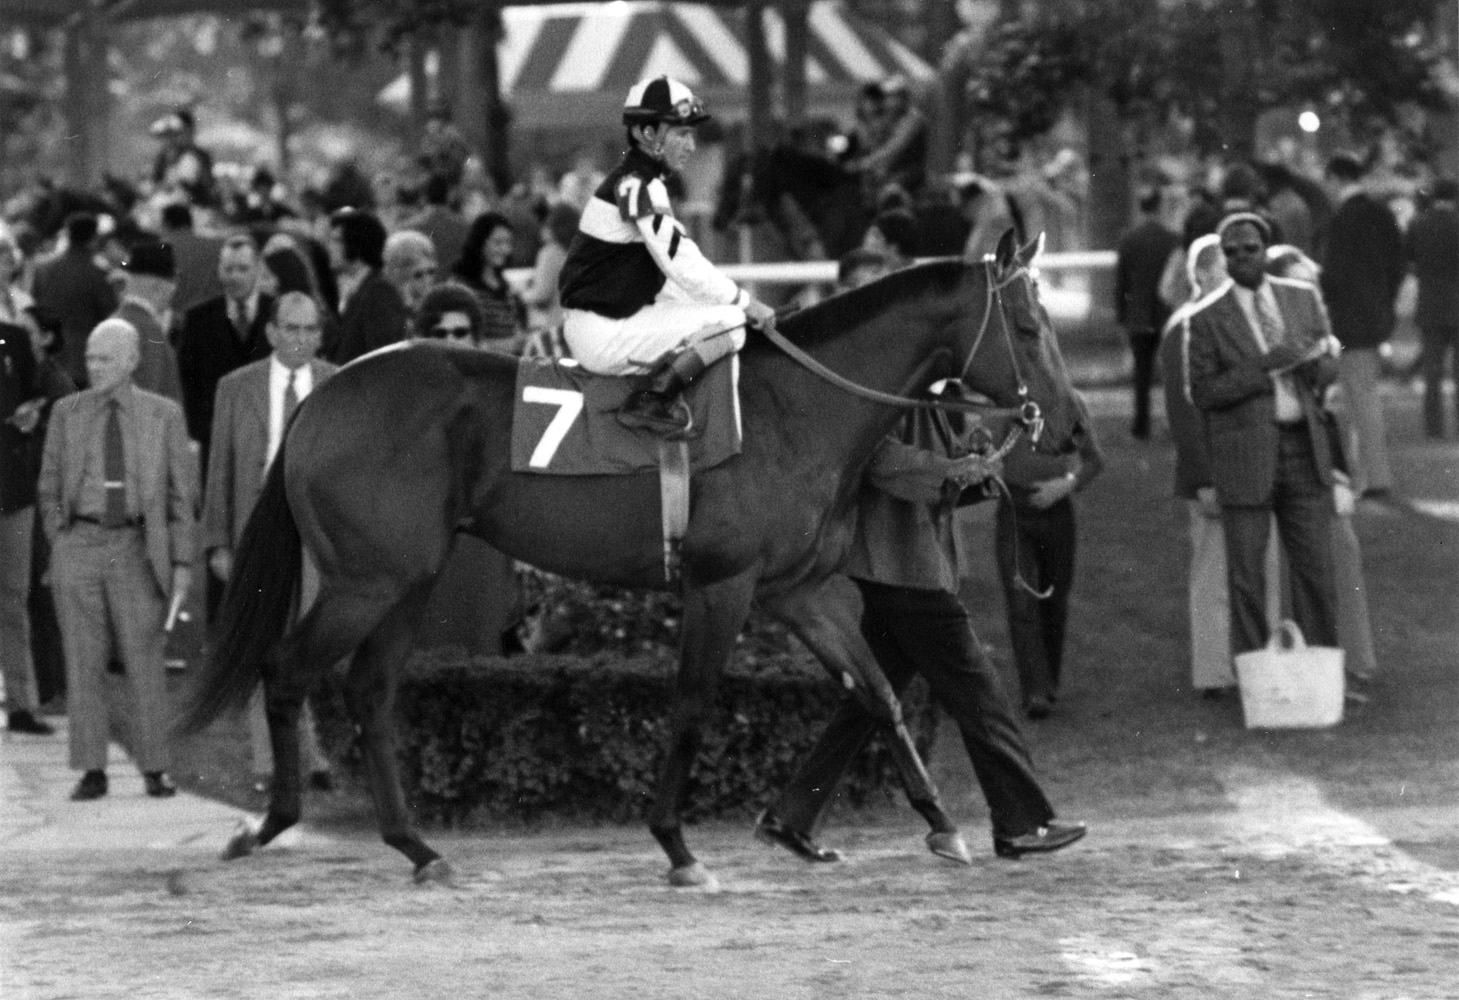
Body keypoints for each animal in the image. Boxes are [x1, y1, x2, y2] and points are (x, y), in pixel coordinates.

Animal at [179, 230, 1085, 887]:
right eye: (1030, 327)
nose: (1071, 423)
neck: (797, 408)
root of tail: (321, 395)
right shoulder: (723, 586)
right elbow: (689, 704)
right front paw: (678, 847)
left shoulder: (798, 591)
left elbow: (876, 695)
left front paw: (941, 827)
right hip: (366, 581)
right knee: (287, 670)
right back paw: (267, 827)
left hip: (409, 579)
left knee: (367, 691)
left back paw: (417, 848)